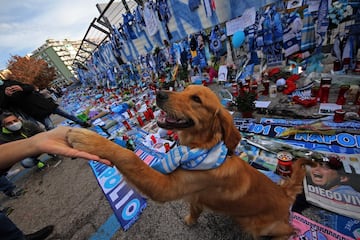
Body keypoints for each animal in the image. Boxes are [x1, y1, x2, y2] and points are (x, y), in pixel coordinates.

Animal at [67, 85, 312, 239]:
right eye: (184, 89)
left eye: (196, 99)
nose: (158, 93)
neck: (196, 148)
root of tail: (284, 194)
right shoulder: (194, 195)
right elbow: (195, 207)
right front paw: (190, 219)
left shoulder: (165, 187)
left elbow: (130, 156)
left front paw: (89, 139)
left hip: (257, 226)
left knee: (288, 230)